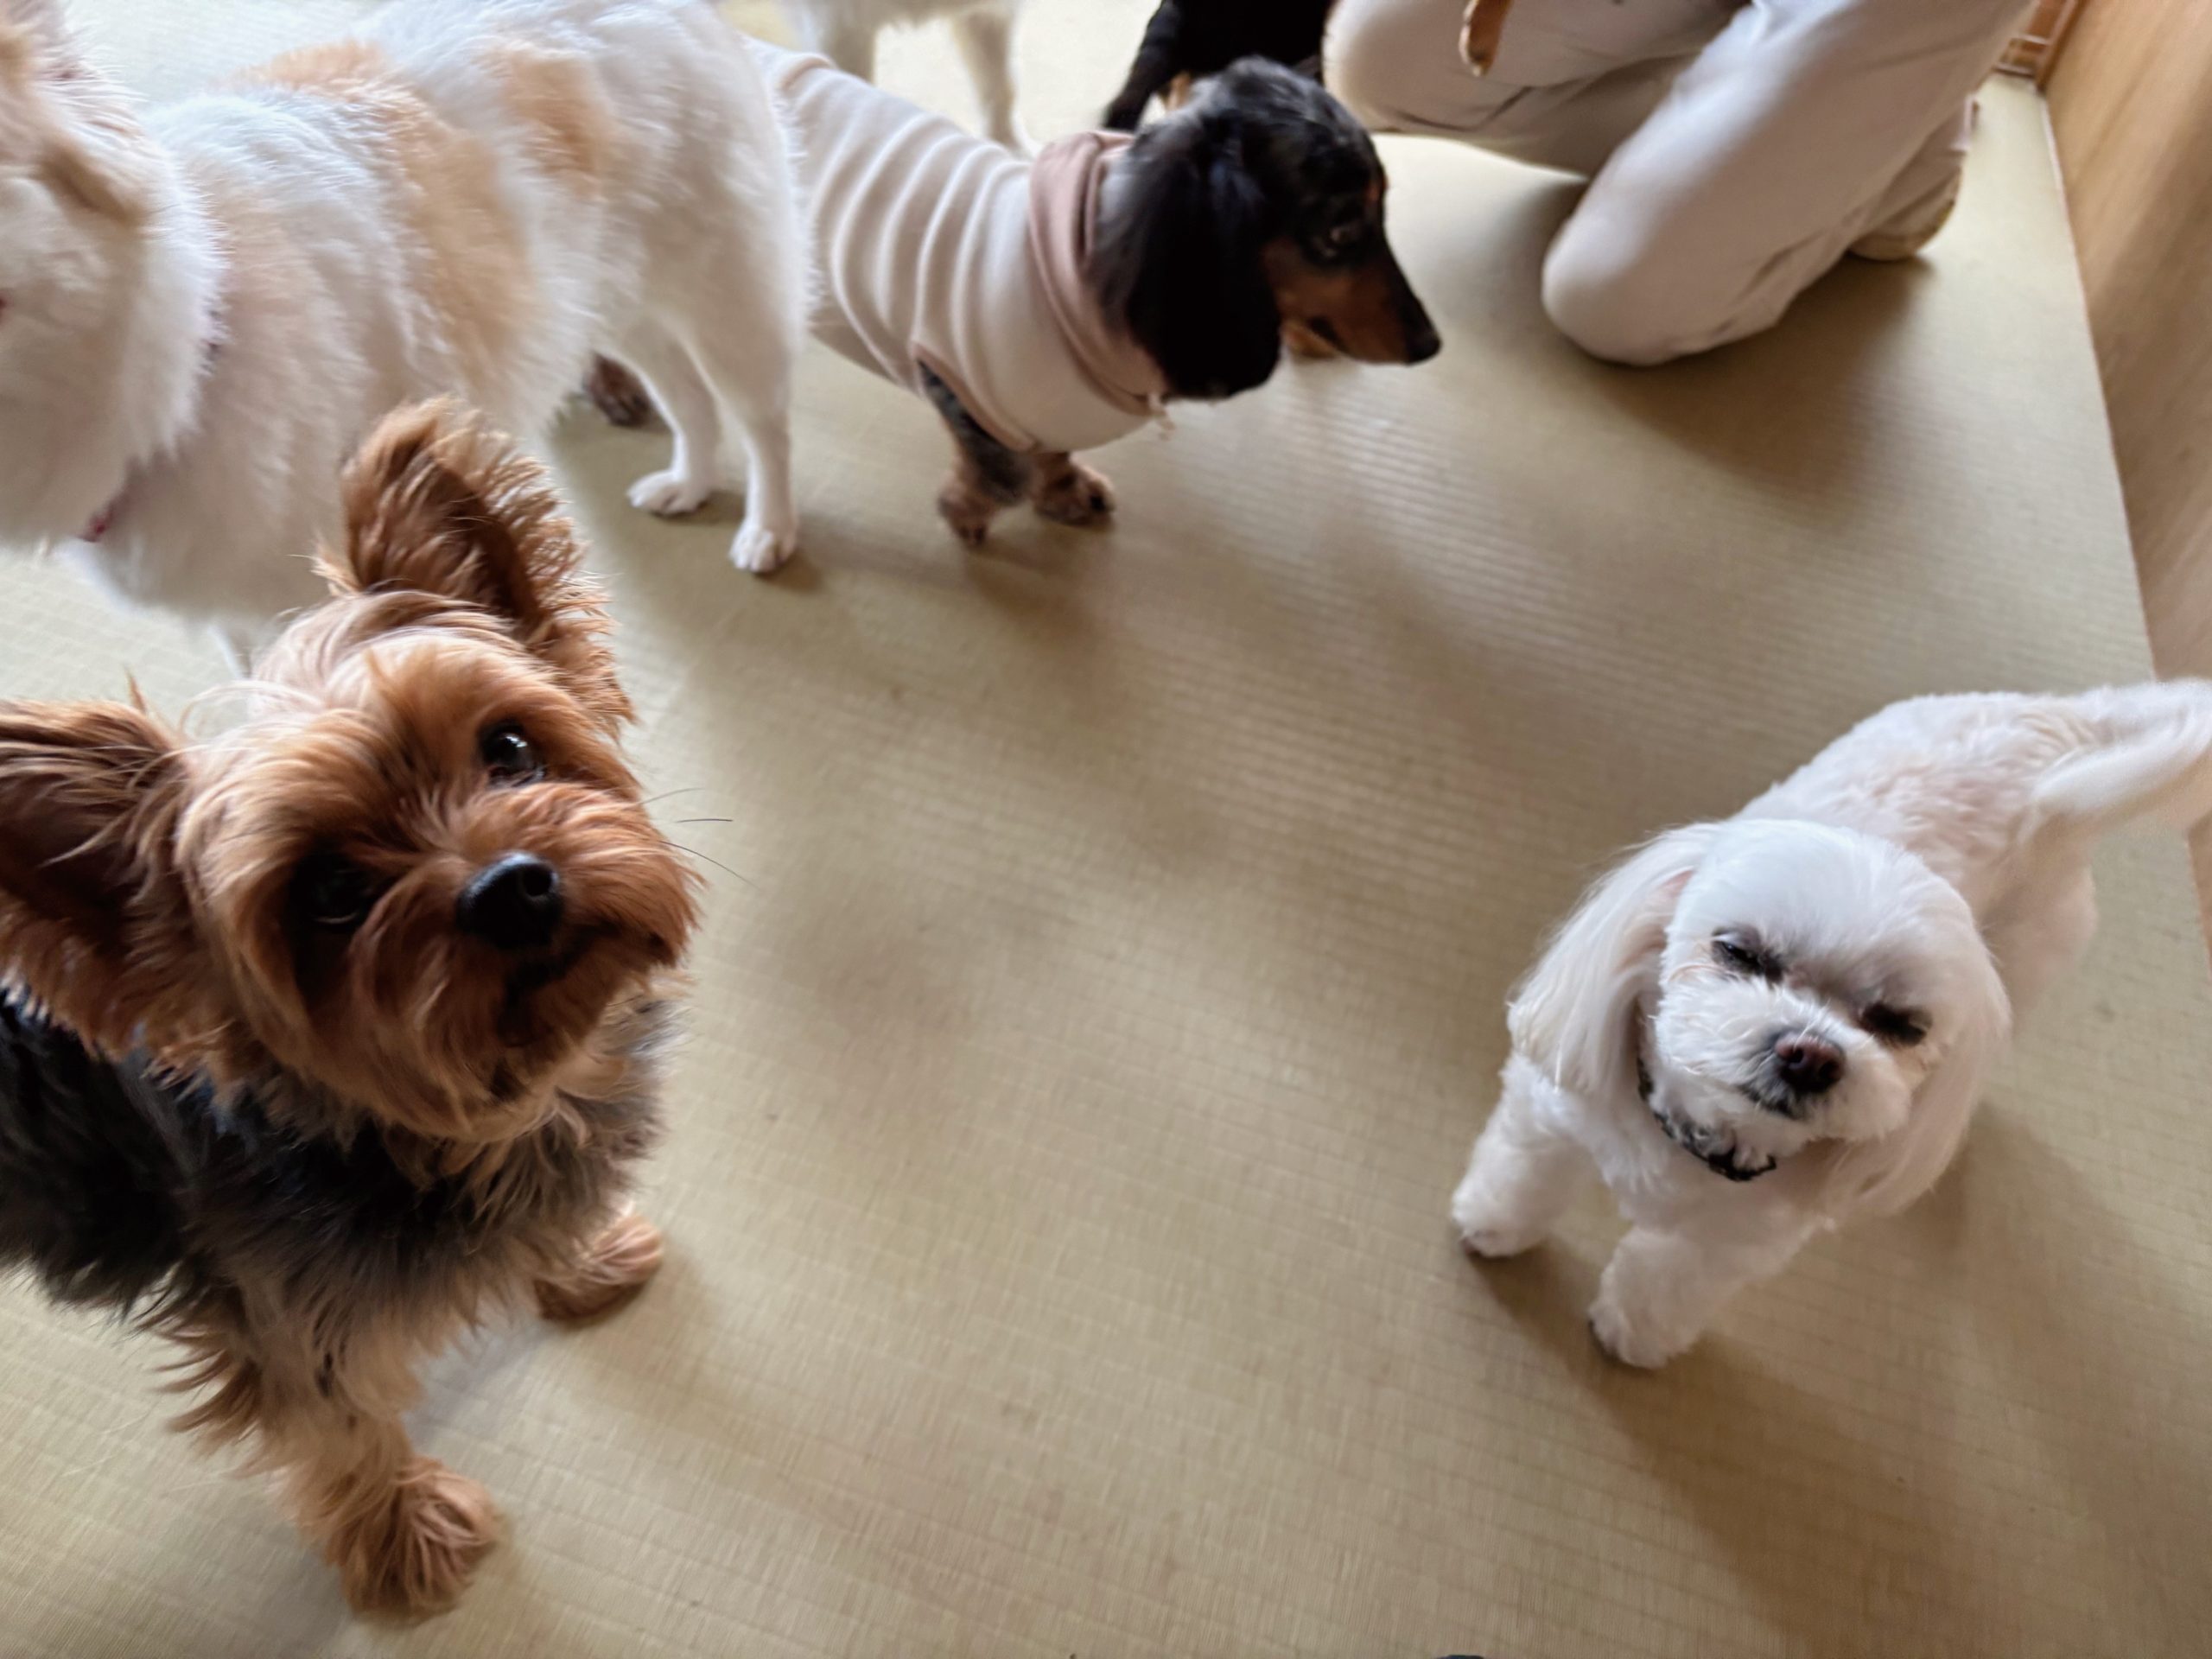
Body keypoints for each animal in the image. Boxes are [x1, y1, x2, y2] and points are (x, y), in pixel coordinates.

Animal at [0, 0, 805, 664]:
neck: (199, 352)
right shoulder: (243, 617)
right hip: (616, 308)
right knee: (689, 402)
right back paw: (688, 485)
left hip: (726, 298)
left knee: (763, 422)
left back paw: (769, 530)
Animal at [0, 401, 698, 1616]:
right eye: (328, 893)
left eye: (509, 746)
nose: (512, 887)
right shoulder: (283, 1311)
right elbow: (342, 1430)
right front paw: (407, 1543)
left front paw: (574, 1261)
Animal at [591, 50, 1439, 549]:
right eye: (1340, 231)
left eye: (1385, 211)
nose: (1431, 344)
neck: (1085, 280)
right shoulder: (949, 377)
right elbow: (995, 470)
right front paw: (966, 510)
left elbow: (1049, 450)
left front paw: (1064, 489)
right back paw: (614, 389)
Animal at [1452, 682, 2212, 1369]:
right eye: (1739, 951)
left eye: (1901, 1026)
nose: (1811, 1054)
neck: (1693, 1141)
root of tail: (2062, 722)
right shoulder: (1553, 1116)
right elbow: (1523, 1178)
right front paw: (1491, 1226)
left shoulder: (1733, 1241)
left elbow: (1667, 1280)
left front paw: (1633, 1334)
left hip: (2028, 964)